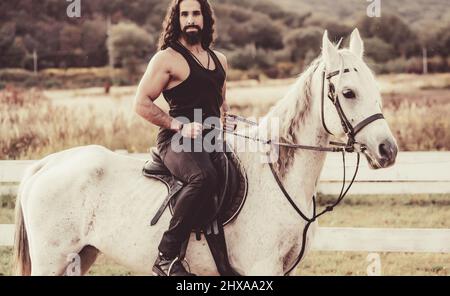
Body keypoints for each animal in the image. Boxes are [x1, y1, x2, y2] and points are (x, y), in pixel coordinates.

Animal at [12, 28, 396, 276]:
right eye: (347, 93)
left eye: (376, 89)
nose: (387, 150)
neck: (276, 178)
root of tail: (46, 164)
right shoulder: (261, 266)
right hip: (53, 259)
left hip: (81, 255)